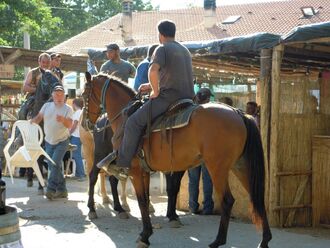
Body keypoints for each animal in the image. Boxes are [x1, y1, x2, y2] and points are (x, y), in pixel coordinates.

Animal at [81, 72, 272, 247]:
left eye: (84, 94)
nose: (85, 123)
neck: (125, 116)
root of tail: (238, 113)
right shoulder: (145, 171)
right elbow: (147, 199)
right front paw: (151, 229)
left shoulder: (136, 170)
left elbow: (144, 199)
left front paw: (145, 235)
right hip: (240, 166)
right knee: (257, 197)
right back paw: (264, 240)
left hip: (218, 168)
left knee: (228, 200)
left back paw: (218, 241)